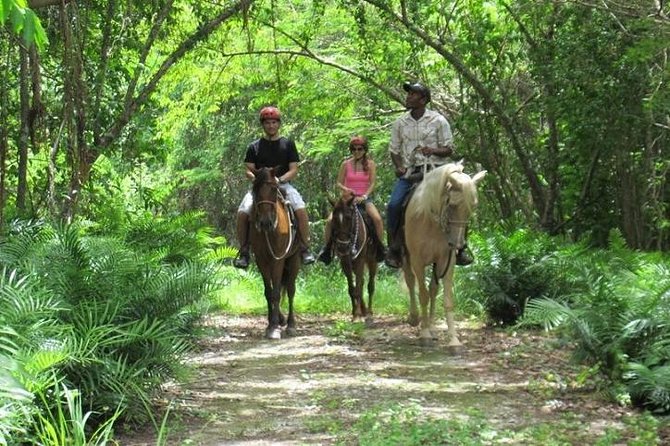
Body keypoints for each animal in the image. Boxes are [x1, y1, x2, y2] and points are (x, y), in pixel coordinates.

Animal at [249, 166, 302, 338]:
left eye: (273, 189)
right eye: (255, 189)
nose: (265, 222)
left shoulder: (278, 259)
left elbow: (277, 292)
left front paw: (274, 327)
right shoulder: (262, 260)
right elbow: (269, 291)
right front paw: (272, 323)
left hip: (294, 260)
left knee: (291, 289)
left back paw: (291, 324)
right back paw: (281, 319)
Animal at [330, 195, 378, 324]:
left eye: (348, 218)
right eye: (334, 219)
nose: (342, 246)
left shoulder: (360, 259)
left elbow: (358, 288)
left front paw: (357, 315)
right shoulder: (345, 262)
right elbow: (352, 289)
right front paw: (355, 312)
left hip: (372, 260)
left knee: (370, 285)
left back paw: (369, 312)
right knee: (361, 283)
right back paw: (364, 310)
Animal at [400, 163, 488, 348]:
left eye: (473, 206)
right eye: (452, 204)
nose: (458, 244)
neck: (430, 220)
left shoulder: (446, 261)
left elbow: (447, 299)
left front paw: (454, 340)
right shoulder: (418, 261)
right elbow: (422, 295)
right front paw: (424, 333)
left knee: (433, 289)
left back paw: (432, 327)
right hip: (405, 258)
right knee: (411, 282)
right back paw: (415, 318)